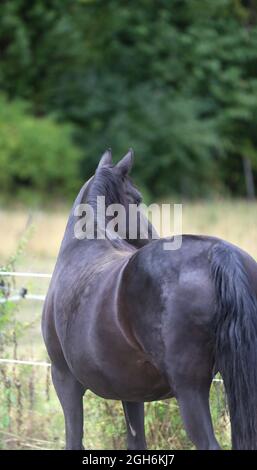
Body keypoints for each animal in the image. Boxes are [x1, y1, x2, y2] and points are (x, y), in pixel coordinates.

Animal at [42, 149, 257, 450]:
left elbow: (74, 440)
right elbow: (136, 443)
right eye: (136, 199)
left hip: (190, 391)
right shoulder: (131, 392)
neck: (83, 246)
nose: (152, 236)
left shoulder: (65, 380)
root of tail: (219, 253)